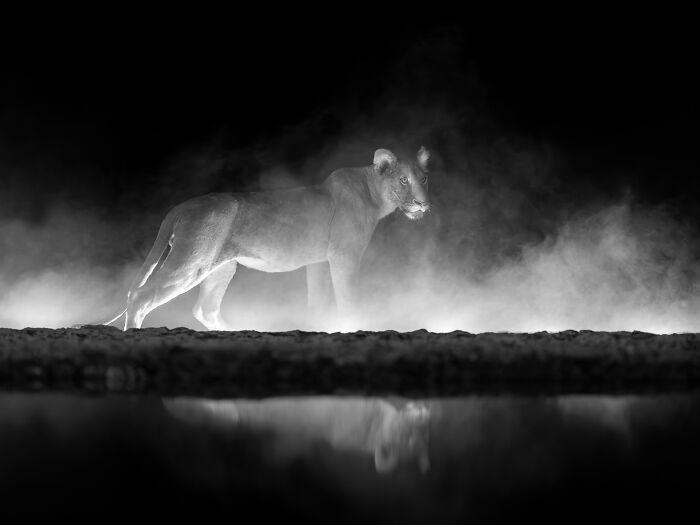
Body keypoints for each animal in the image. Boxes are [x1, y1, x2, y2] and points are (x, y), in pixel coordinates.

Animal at [104, 147, 431, 330]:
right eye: (403, 180)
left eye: (424, 179)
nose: (423, 204)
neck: (374, 193)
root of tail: (179, 207)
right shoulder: (344, 256)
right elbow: (348, 296)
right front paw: (355, 323)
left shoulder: (318, 262)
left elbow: (317, 299)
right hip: (192, 262)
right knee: (141, 296)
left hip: (221, 267)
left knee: (205, 309)